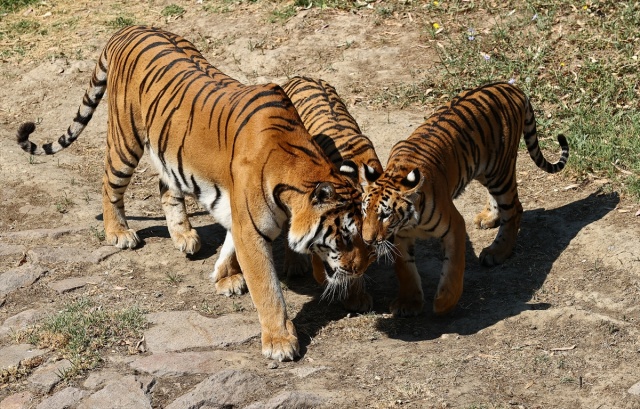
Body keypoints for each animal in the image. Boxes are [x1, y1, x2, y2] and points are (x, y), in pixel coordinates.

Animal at [360, 80, 568, 316]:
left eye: (385, 215)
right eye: (364, 211)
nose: (367, 240)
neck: (408, 222)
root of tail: (509, 86)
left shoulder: (454, 226)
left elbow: (453, 267)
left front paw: (444, 303)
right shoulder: (400, 237)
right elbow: (405, 270)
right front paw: (408, 303)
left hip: (500, 170)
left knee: (515, 209)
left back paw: (497, 251)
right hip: (486, 172)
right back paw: (488, 218)